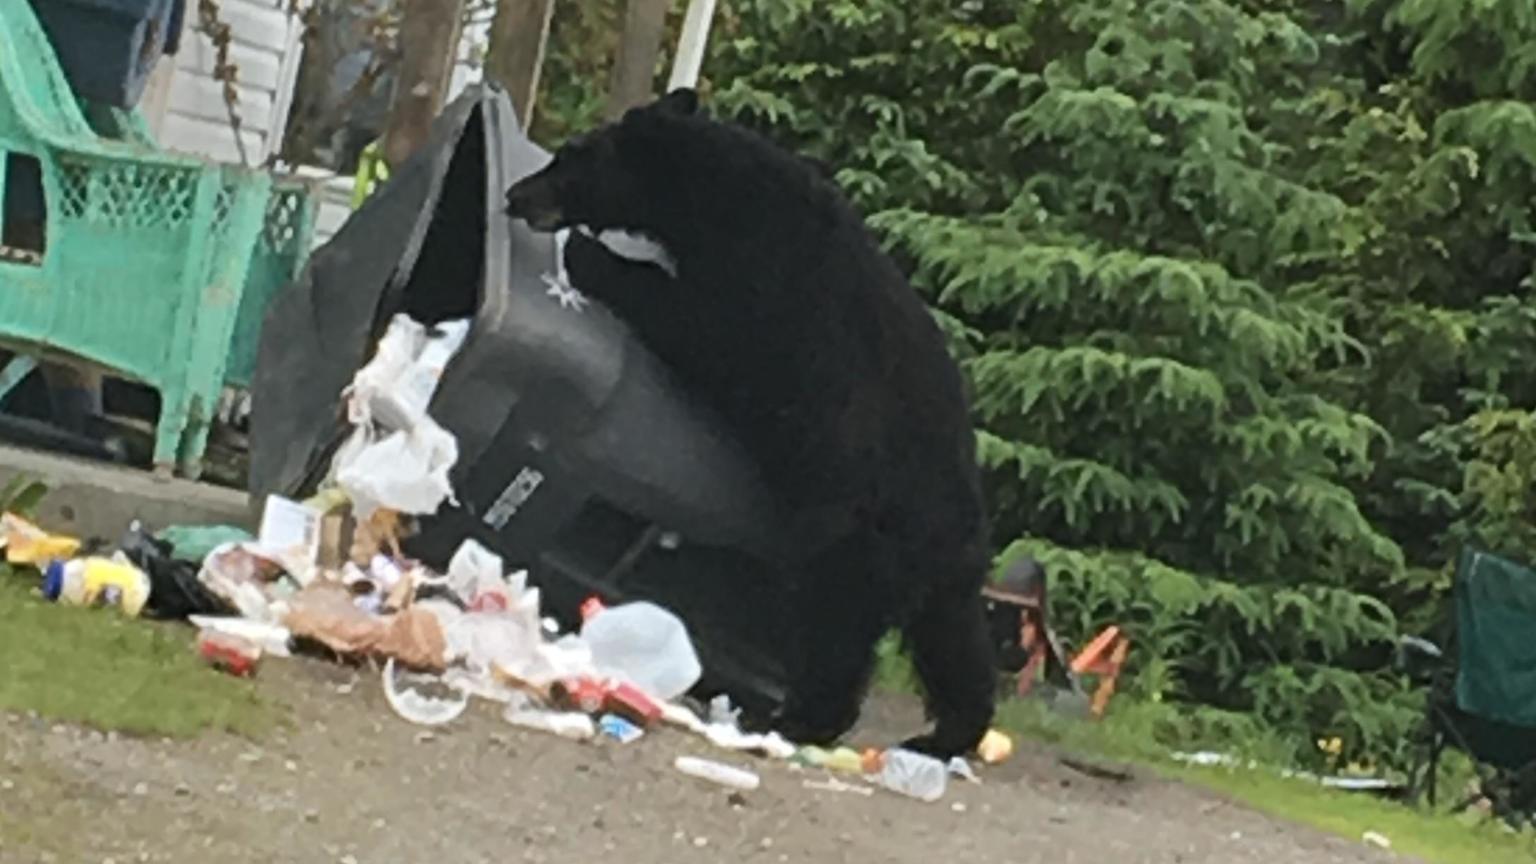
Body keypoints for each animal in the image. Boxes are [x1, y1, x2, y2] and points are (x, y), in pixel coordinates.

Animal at [505, 88, 996, 758]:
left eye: (569, 158)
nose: (515, 195)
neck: (715, 191)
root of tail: (952, 536)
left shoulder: (759, 287)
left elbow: (692, 321)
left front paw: (589, 253)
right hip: (948, 582)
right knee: (957, 647)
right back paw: (945, 734)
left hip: (856, 544)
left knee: (837, 631)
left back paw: (803, 718)